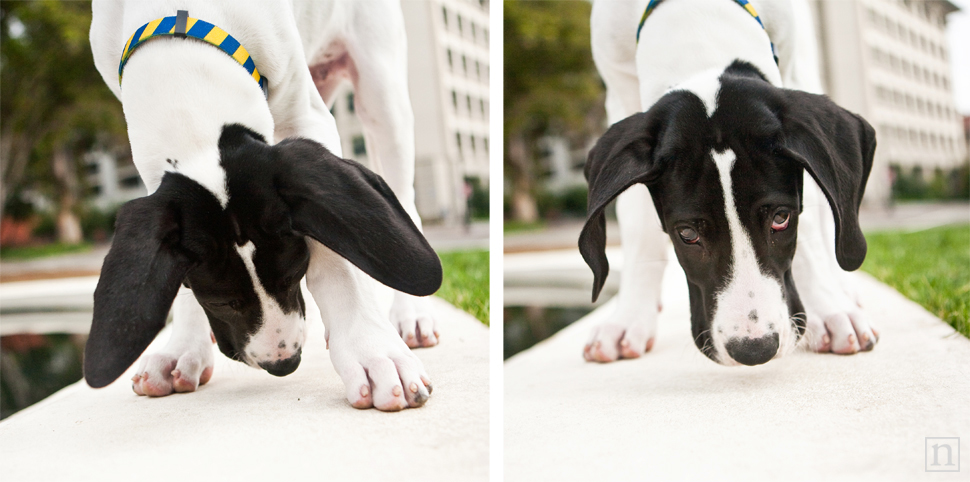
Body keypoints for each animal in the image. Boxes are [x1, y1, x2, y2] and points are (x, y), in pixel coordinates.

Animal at [85, 1, 440, 412]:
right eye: (221, 302)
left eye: (294, 274)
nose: (283, 364)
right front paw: (183, 347)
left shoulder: (308, 122)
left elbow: (337, 260)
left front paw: (371, 351)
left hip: (381, 91)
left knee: (403, 194)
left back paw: (412, 314)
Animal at [584, 0, 876, 366]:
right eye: (687, 234)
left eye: (781, 218)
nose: (754, 350)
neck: (695, 17)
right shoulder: (620, 93)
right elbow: (639, 226)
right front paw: (629, 318)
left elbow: (811, 224)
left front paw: (830, 307)